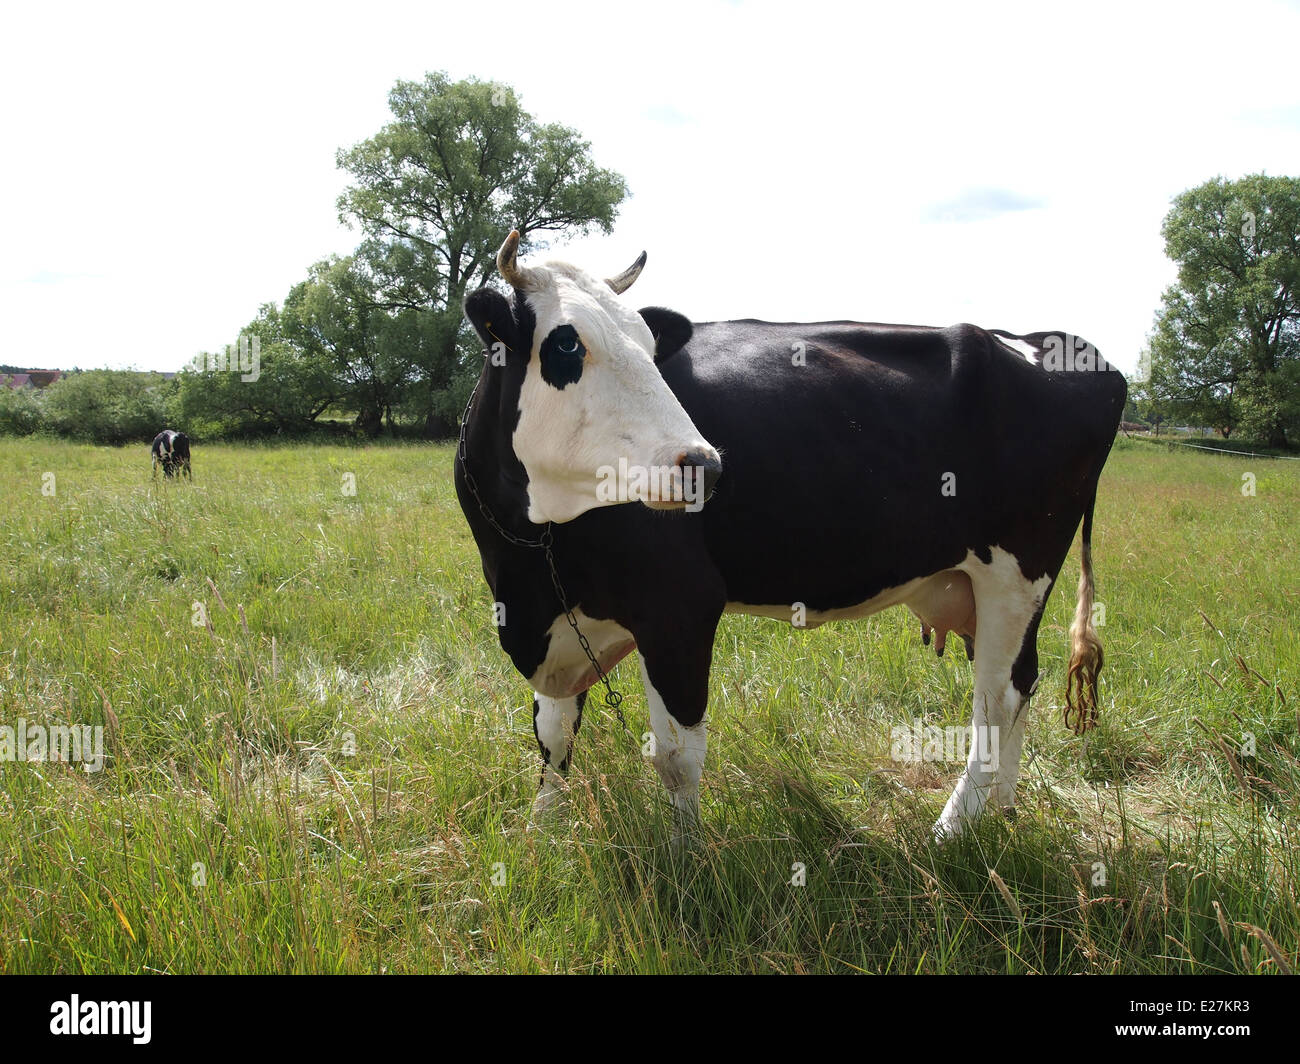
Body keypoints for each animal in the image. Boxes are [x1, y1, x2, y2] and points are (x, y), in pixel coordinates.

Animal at [457, 230, 1128, 837]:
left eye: (650, 347)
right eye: (566, 345)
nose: (706, 465)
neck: (534, 552)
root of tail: (1058, 346)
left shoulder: (680, 606)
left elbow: (675, 758)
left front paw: (684, 858)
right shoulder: (549, 619)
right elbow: (552, 735)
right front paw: (542, 833)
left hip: (1016, 572)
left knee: (998, 699)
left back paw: (953, 830)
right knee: (1023, 681)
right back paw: (1001, 812)